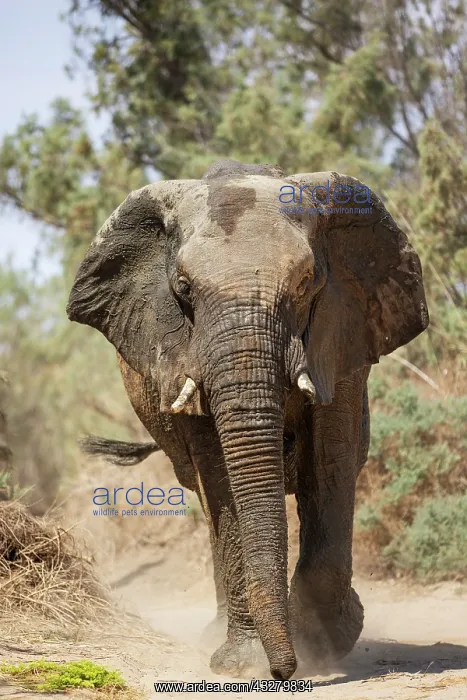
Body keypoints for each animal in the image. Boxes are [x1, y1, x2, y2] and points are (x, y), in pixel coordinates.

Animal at [67, 159, 429, 680]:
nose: (284, 673)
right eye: (182, 290)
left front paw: (326, 641)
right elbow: (220, 476)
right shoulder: (178, 352)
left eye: (305, 283)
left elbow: (330, 462)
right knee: (206, 501)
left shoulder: (342, 330)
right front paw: (246, 665)